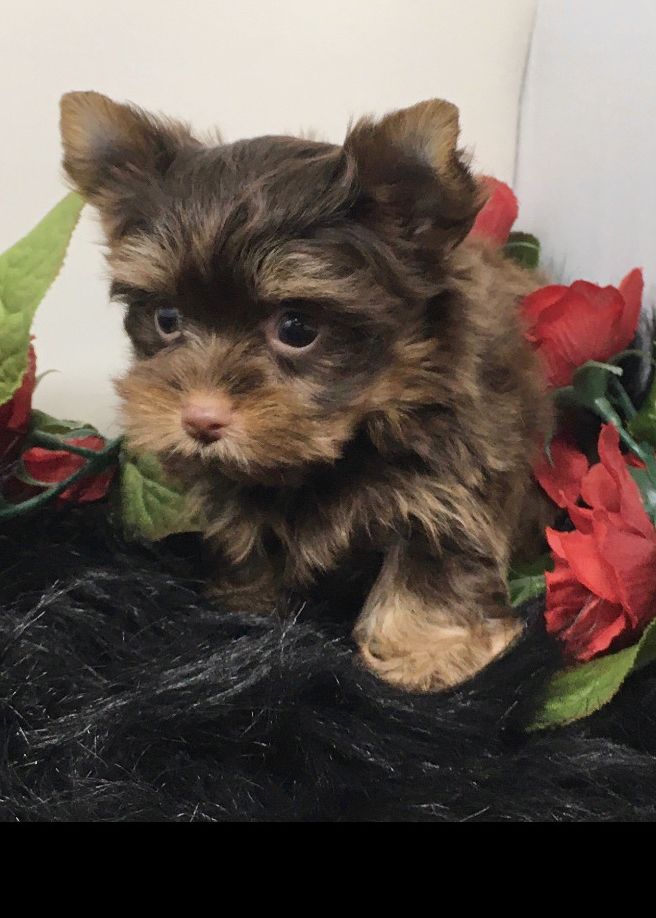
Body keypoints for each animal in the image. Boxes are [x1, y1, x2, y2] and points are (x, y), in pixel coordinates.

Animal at [60, 95, 552, 696]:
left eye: (297, 328)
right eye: (167, 319)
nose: (200, 419)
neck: (337, 450)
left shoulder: (449, 481)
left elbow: (434, 562)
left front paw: (424, 656)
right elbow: (248, 540)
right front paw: (248, 603)